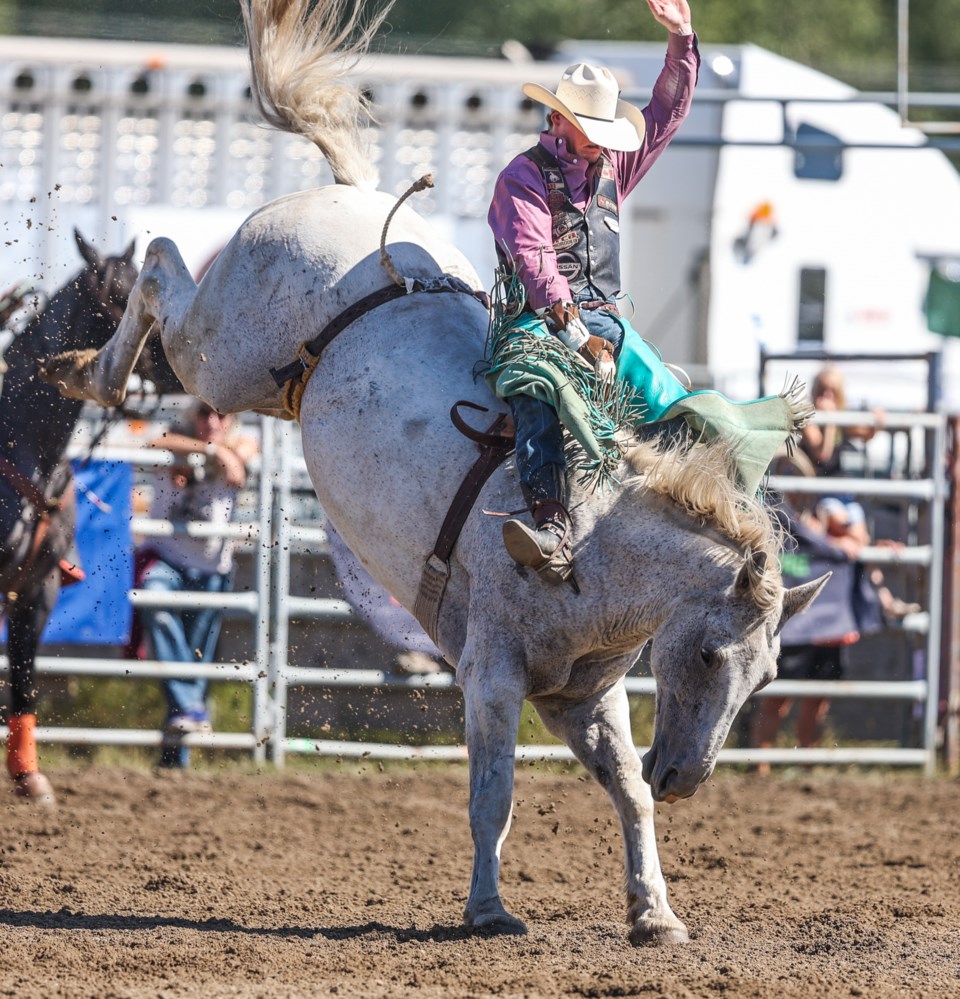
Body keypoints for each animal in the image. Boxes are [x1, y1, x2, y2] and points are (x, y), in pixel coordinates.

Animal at [43, 0, 824, 944]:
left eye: (768, 675)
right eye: (709, 653)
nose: (689, 777)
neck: (598, 542)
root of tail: (345, 194)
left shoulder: (583, 695)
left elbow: (627, 792)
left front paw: (655, 912)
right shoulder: (490, 670)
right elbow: (495, 793)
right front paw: (489, 908)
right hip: (216, 356)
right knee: (159, 263)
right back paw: (86, 372)